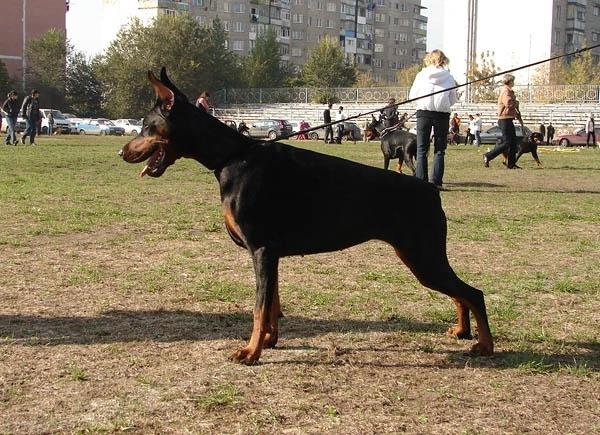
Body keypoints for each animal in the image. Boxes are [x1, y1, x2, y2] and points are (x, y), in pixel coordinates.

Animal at [119, 70, 494, 366]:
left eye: (146, 126)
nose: (122, 151)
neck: (232, 157)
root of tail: (430, 190)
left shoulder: (261, 250)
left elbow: (258, 307)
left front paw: (250, 352)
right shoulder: (270, 254)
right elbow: (271, 304)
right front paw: (269, 341)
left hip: (422, 256)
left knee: (473, 293)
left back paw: (485, 345)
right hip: (421, 257)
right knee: (461, 293)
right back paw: (462, 331)